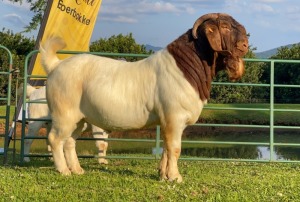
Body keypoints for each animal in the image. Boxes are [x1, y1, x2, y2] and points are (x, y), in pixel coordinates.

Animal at [39, 13, 248, 183]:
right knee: (55, 139)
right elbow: (175, 148)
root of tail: (55, 65)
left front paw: (163, 175)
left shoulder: (167, 121)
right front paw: (175, 177)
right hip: (63, 113)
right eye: (225, 26)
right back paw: (64, 171)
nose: (245, 45)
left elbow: (166, 148)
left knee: (69, 141)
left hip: (79, 119)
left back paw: (77, 170)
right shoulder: (174, 117)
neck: (187, 68)